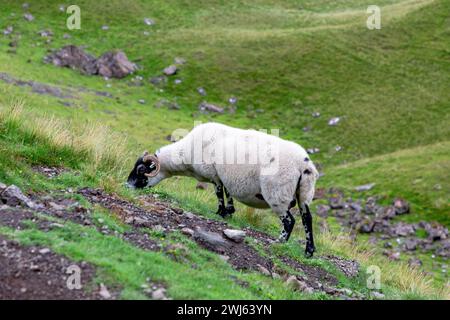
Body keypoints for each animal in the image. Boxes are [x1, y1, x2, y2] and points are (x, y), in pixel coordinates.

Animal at [126, 122, 320, 258]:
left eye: (141, 170)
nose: (127, 186)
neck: (185, 153)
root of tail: (304, 165)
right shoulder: (224, 177)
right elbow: (228, 194)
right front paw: (229, 212)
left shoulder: (214, 174)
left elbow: (219, 193)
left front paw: (220, 212)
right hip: (304, 193)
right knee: (307, 218)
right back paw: (309, 251)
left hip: (278, 193)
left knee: (289, 221)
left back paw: (279, 242)